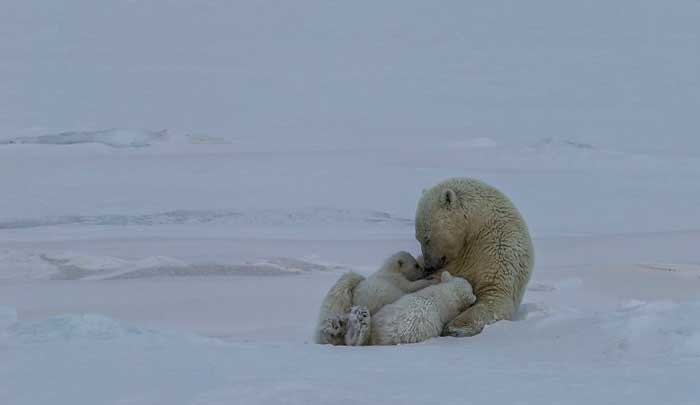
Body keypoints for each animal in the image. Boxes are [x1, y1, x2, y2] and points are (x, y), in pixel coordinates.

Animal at [416, 178, 536, 338]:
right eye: (418, 238)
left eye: (427, 238)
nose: (428, 267)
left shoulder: (497, 247)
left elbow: (493, 294)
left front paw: (455, 327)